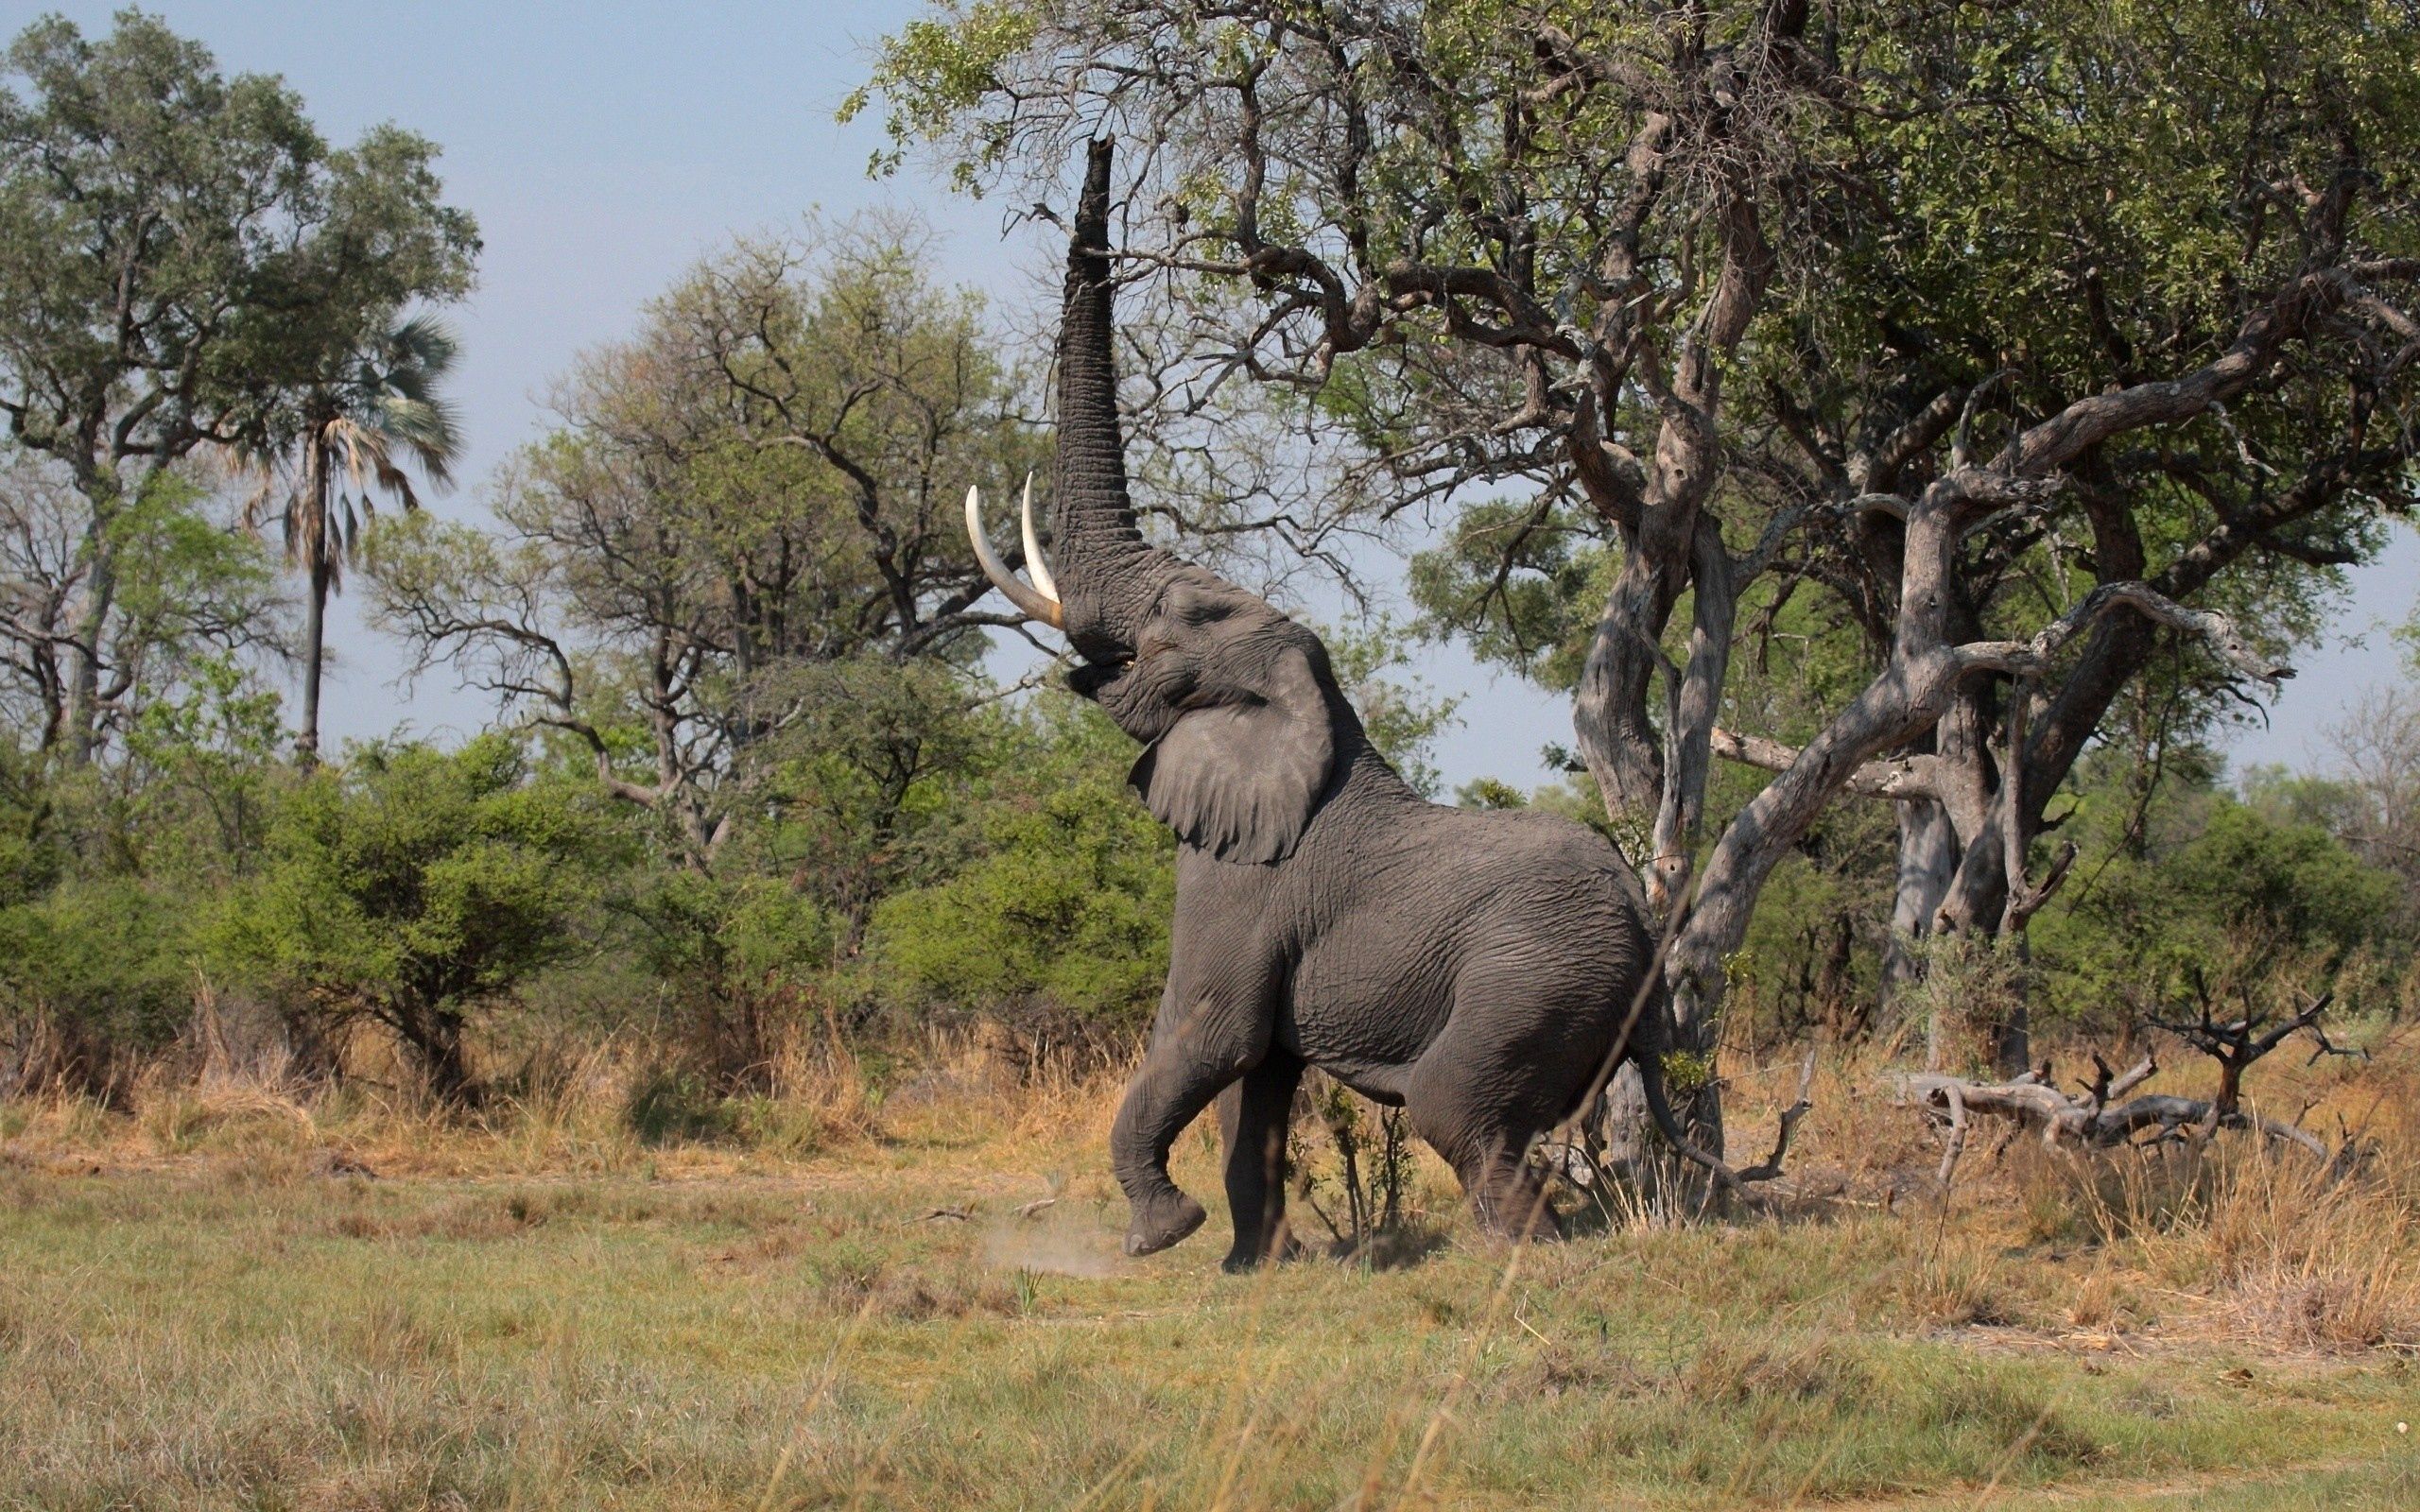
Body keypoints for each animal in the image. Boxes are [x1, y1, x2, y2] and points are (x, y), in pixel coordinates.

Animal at [962, 141, 1722, 1258]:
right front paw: (1255, 1266)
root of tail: (1643, 921)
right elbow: (1258, 1086)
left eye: (1182, 617)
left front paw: (1162, 1236)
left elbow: (1211, 1033)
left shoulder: (1243, 881)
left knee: (1459, 1111)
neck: (1305, 706)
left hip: (1530, 981)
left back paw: (1513, 1255)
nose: (1101, 142)